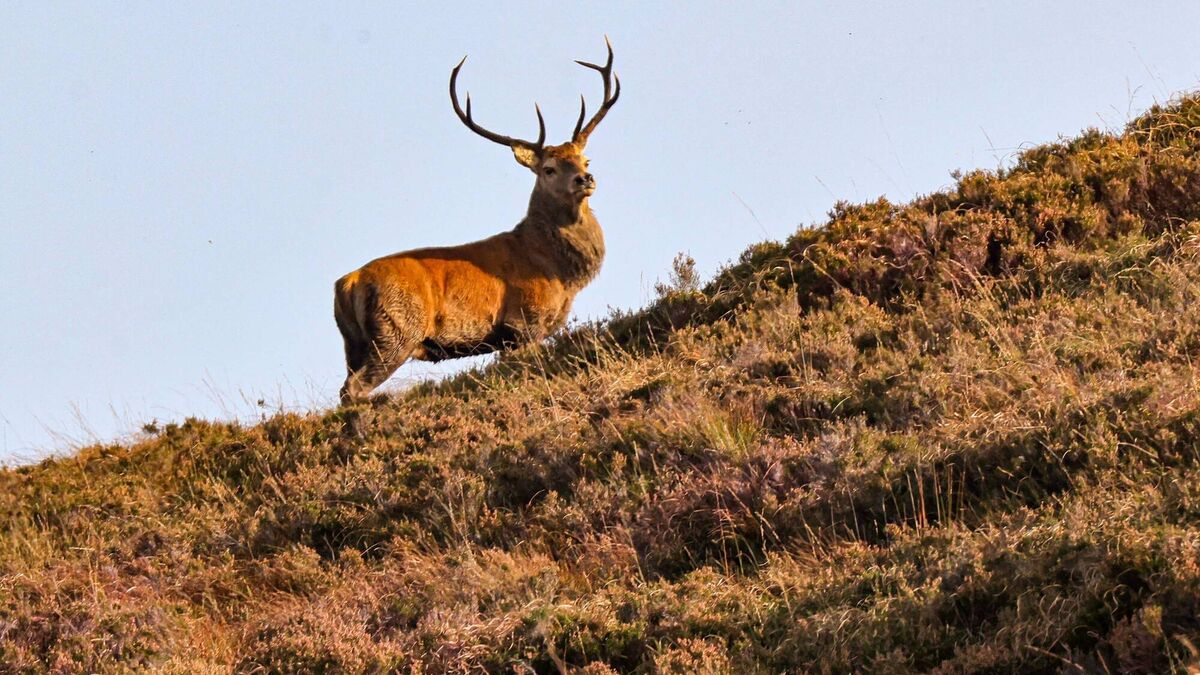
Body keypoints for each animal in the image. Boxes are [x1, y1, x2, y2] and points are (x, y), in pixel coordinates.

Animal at [333, 38, 620, 403]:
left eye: (585, 159)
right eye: (549, 168)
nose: (585, 179)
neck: (558, 272)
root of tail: (347, 283)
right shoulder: (524, 323)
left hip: (353, 344)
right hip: (395, 331)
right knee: (352, 388)